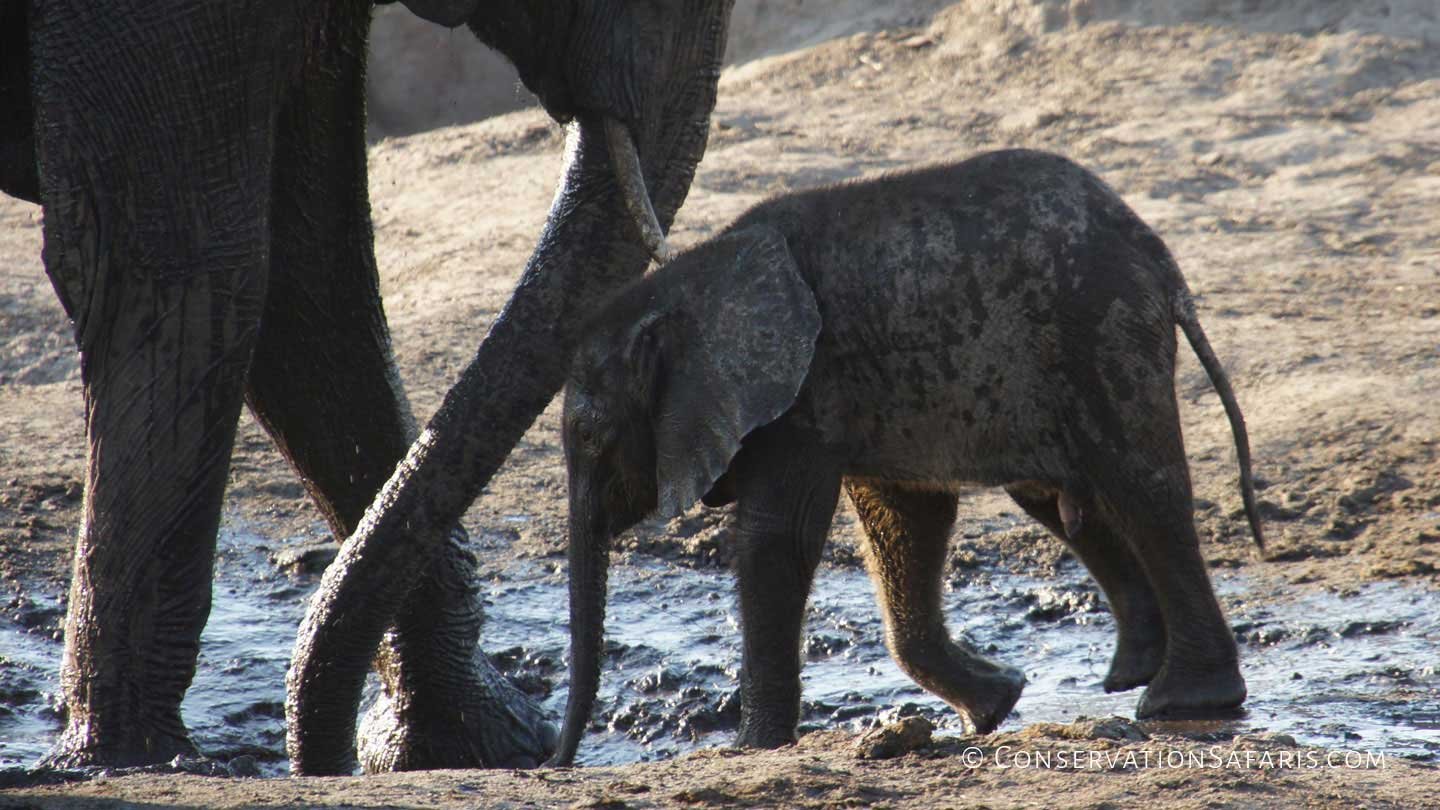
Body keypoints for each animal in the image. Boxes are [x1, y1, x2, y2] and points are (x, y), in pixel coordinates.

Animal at [550, 146, 1261, 760]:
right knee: (1063, 499)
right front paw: (995, 706)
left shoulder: (803, 393)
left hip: (1103, 331)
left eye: (591, 438)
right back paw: (1131, 674)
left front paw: (753, 748)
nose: (552, 763)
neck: (685, 283)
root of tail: (1155, 253)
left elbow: (777, 537)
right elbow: (905, 522)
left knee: (1141, 489)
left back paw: (1181, 702)